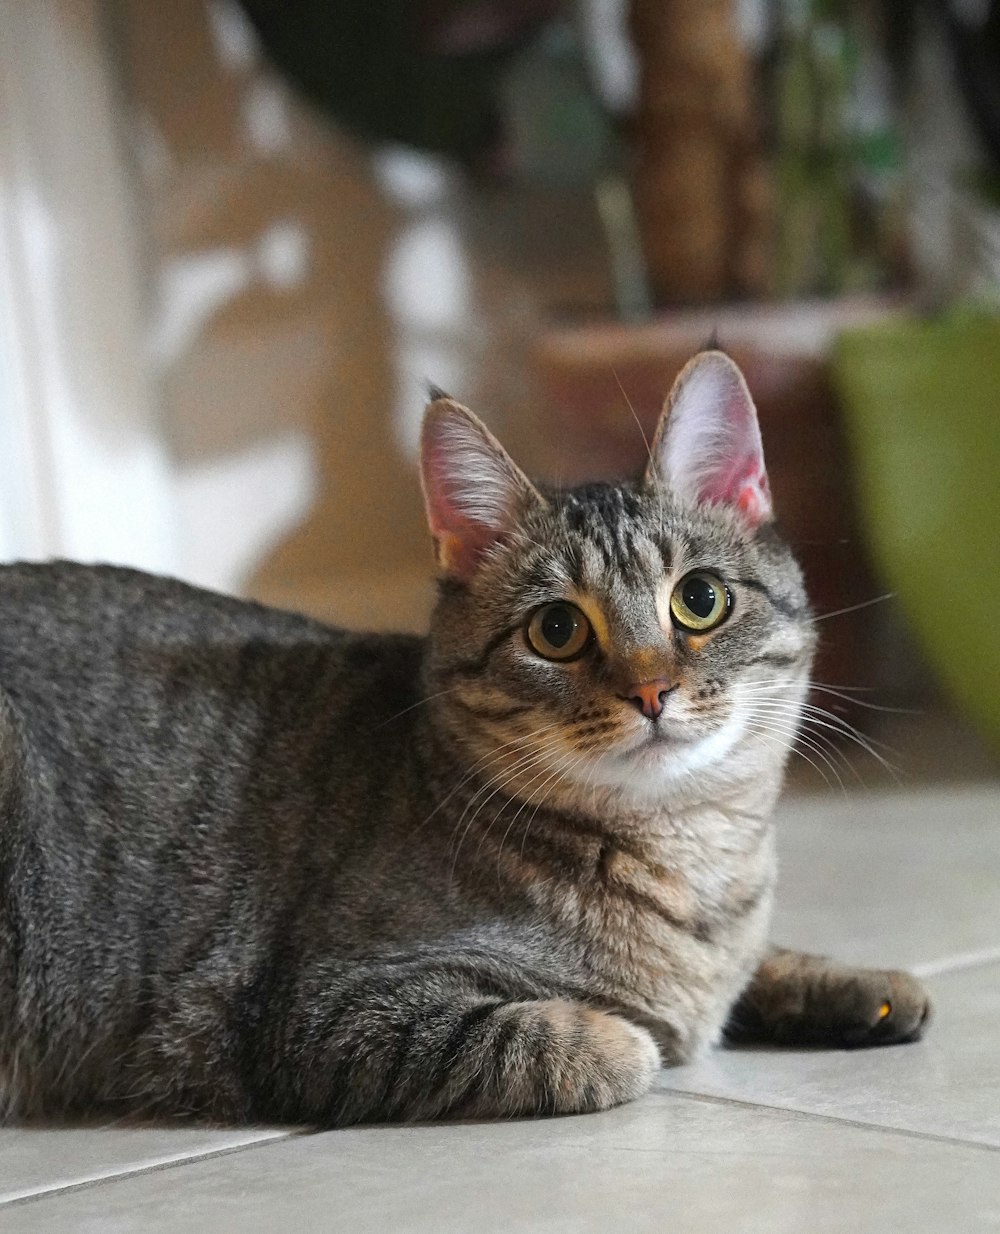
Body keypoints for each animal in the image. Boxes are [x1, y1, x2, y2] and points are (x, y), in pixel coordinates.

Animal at [0, 350, 928, 1130]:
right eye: (557, 629)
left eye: (699, 601)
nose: (650, 690)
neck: (689, 857)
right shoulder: (324, 1010)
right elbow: (557, 1040)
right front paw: (626, 1035)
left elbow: (752, 968)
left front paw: (851, 982)